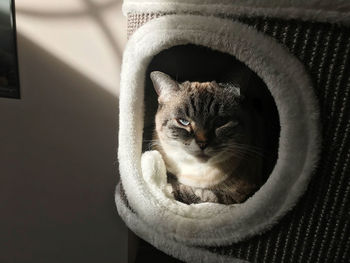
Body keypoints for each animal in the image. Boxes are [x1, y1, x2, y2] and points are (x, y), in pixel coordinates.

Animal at [149, 70, 266, 206]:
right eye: (183, 122)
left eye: (220, 122)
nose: (202, 143)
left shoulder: (244, 193)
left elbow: (208, 197)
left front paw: (176, 190)